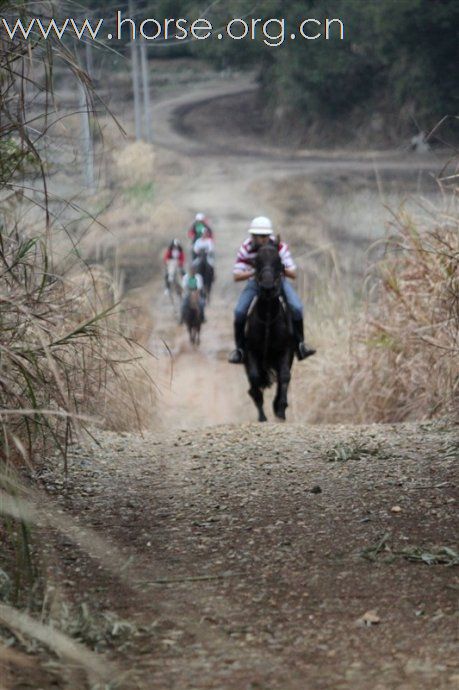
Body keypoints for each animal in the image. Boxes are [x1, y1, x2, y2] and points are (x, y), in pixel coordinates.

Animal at [244, 245, 294, 422]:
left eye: (278, 261)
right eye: (257, 261)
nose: (267, 288)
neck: (267, 318)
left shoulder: (286, 350)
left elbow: (284, 376)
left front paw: (280, 408)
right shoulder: (250, 351)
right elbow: (255, 378)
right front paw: (262, 416)